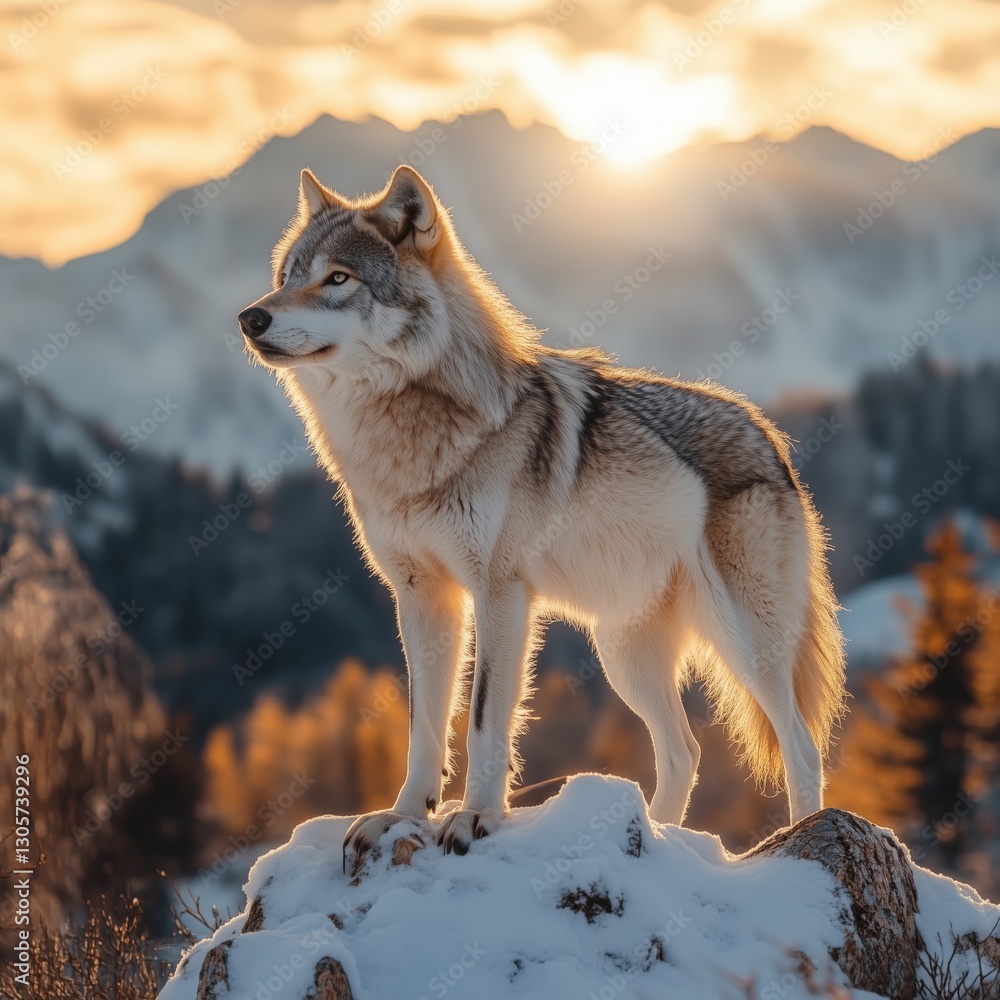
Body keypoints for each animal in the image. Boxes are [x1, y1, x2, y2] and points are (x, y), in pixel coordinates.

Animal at [237, 165, 846, 862]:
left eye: (337, 278)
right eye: (288, 275)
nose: (250, 317)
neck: (411, 440)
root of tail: (768, 434)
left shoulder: (500, 593)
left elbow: (482, 719)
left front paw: (474, 818)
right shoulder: (421, 597)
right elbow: (423, 728)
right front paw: (401, 817)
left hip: (744, 642)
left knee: (802, 746)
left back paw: (799, 839)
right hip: (624, 655)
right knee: (684, 752)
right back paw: (659, 837)